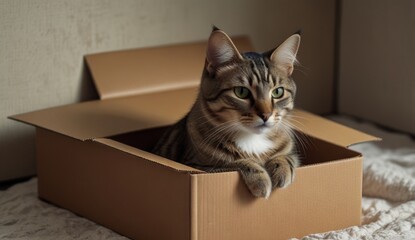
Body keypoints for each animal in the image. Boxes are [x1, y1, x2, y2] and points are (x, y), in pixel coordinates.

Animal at [152, 27, 300, 198]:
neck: (252, 139)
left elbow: (287, 156)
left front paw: (281, 168)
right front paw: (260, 179)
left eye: (278, 92)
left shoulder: (290, 149)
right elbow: (234, 163)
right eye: (241, 92)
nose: (266, 115)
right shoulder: (197, 167)